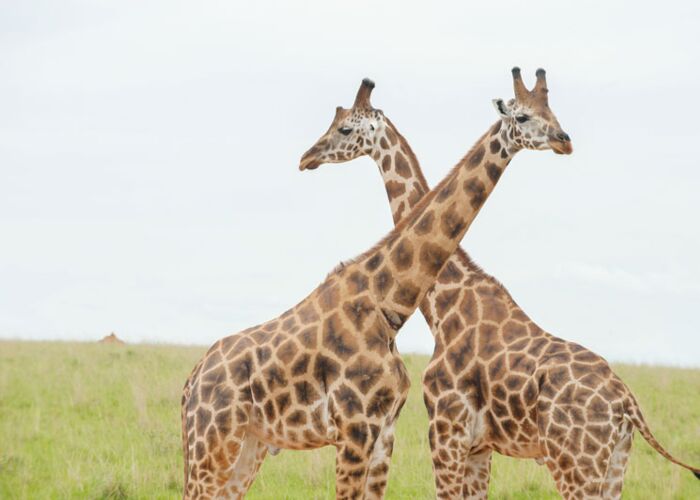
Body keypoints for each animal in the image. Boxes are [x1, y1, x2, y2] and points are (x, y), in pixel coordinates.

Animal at [180, 67, 568, 500]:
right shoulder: (354, 428)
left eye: (552, 111)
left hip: (248, 443)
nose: (564, 140)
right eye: (523, 116)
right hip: (213, 440)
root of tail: (191, 383)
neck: (389, 303)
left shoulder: (383, 432)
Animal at [298, 72, 696, 498]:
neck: (442, 303)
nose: (307, 157)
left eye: (344, 128)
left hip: (576, 462)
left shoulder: (445, 430)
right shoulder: (479, 447)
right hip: (615, 463)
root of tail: (626, 403)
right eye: (530, 114)